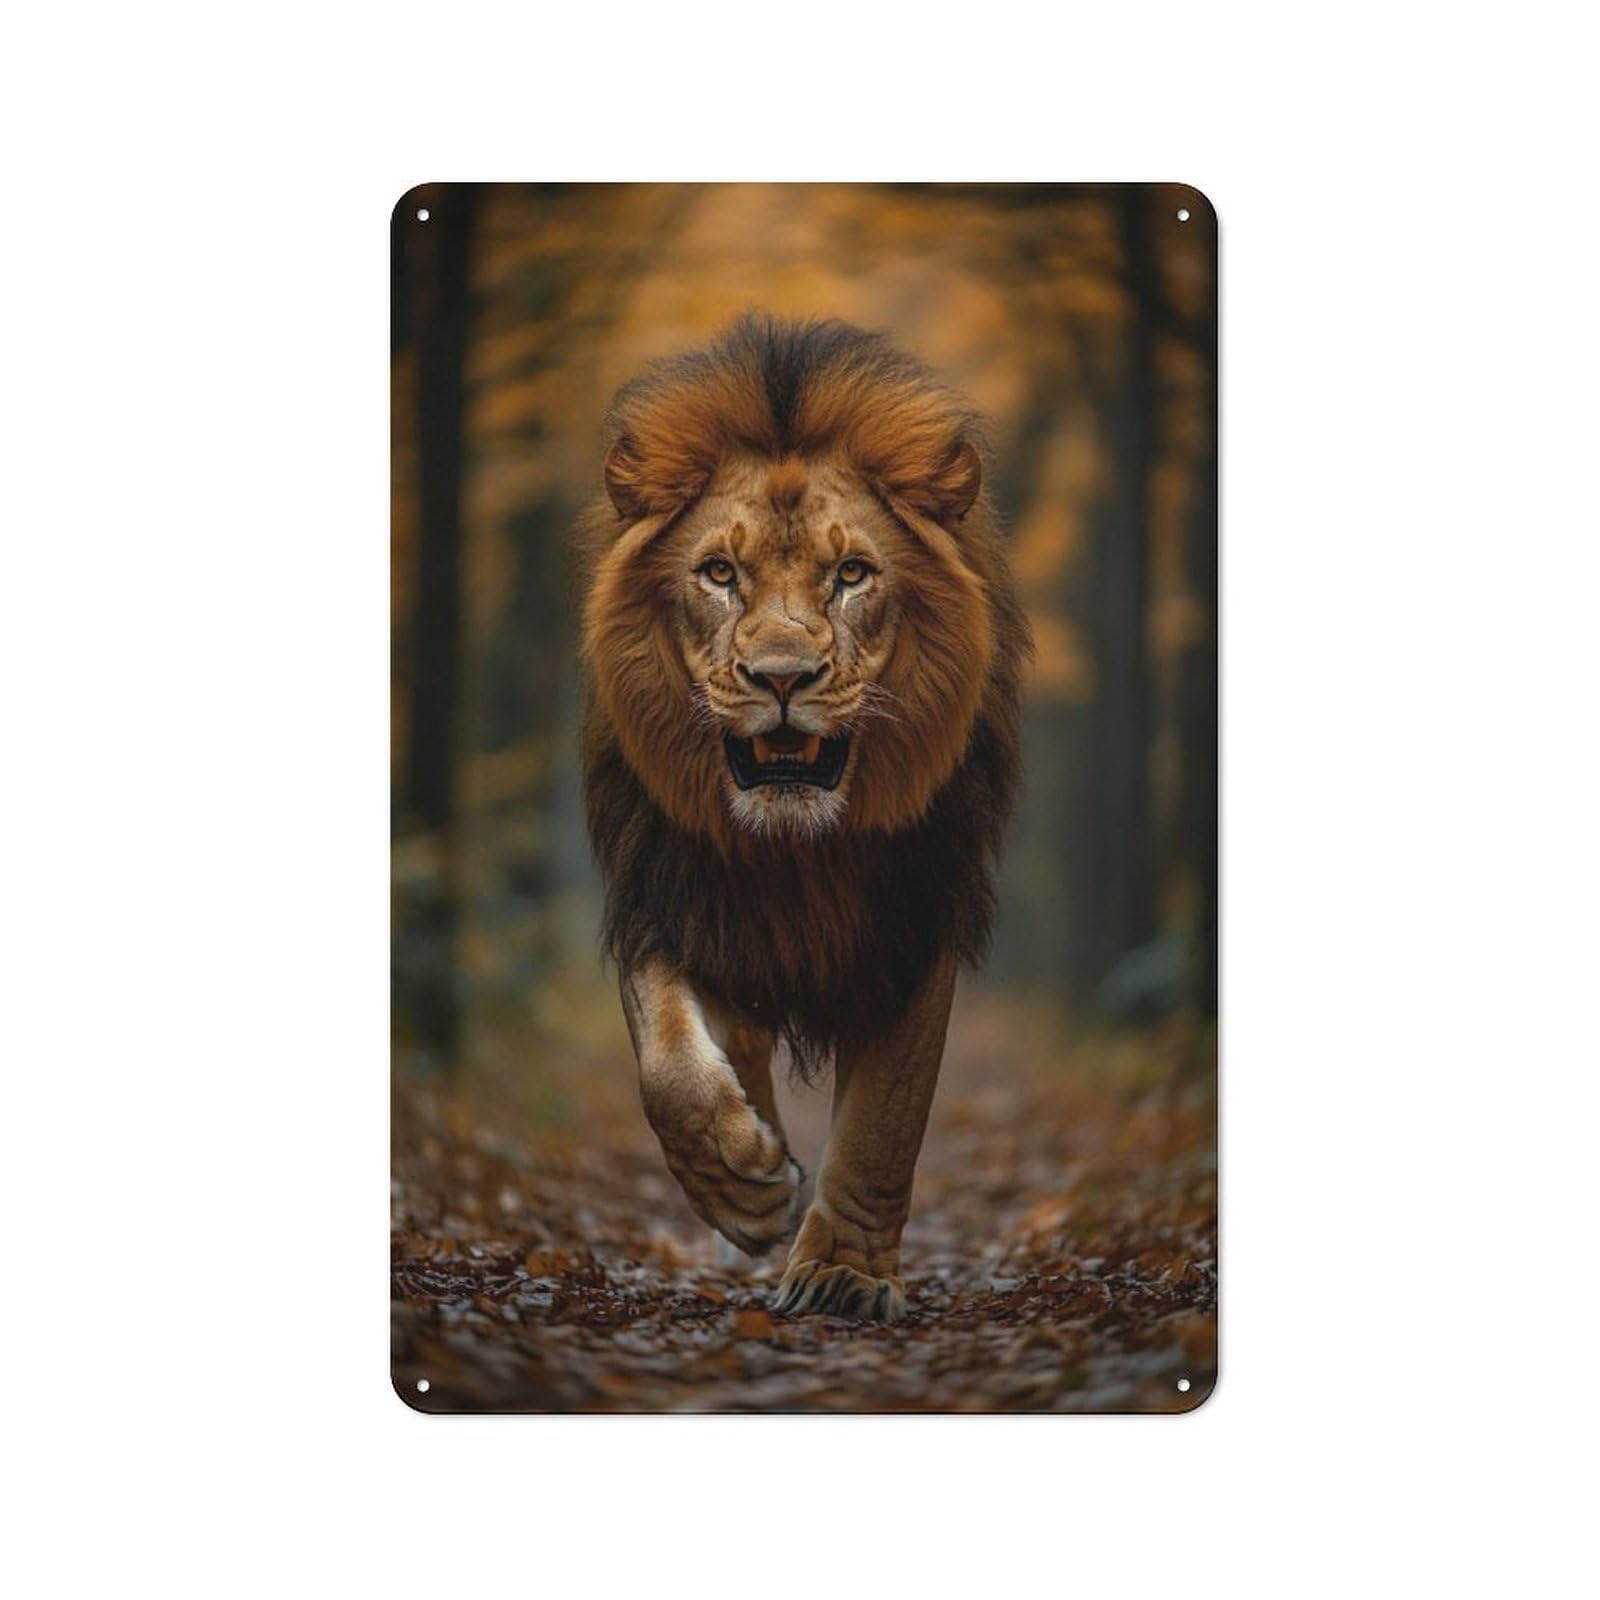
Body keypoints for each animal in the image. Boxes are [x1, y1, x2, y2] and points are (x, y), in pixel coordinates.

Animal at [576, 314, 1028, 1322]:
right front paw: (744, 1185)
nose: (781, 678)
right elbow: (666, 1062)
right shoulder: (664, 894)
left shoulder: (915, 926)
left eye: (852, 574)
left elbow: (885, 1120)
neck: (790, 853)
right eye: (718, 573)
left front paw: (842, 1275)